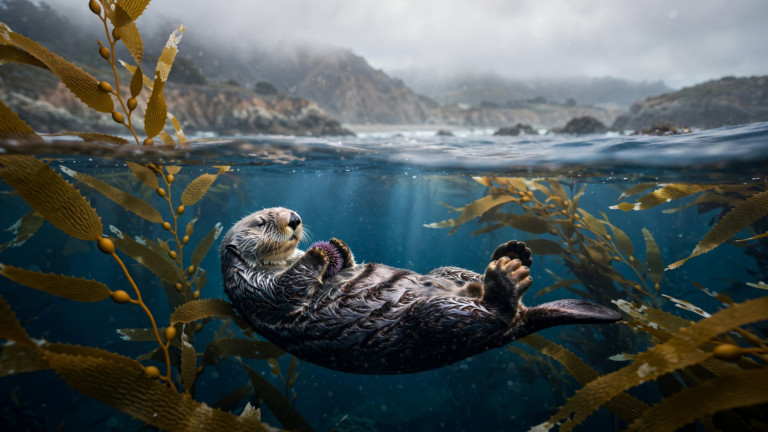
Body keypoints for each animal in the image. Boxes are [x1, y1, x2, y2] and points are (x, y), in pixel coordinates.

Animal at [220, 207, 621, 375]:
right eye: (261, 222)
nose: (294, 219)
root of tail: (519, 325)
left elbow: (343, 265)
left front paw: (337, 247)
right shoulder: (256, 292)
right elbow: (287, 289)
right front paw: (318, 254)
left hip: (446, 273)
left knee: (471, 280)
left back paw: (514, 253)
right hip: (436, 317)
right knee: (495, 311)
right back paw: (508, 275)